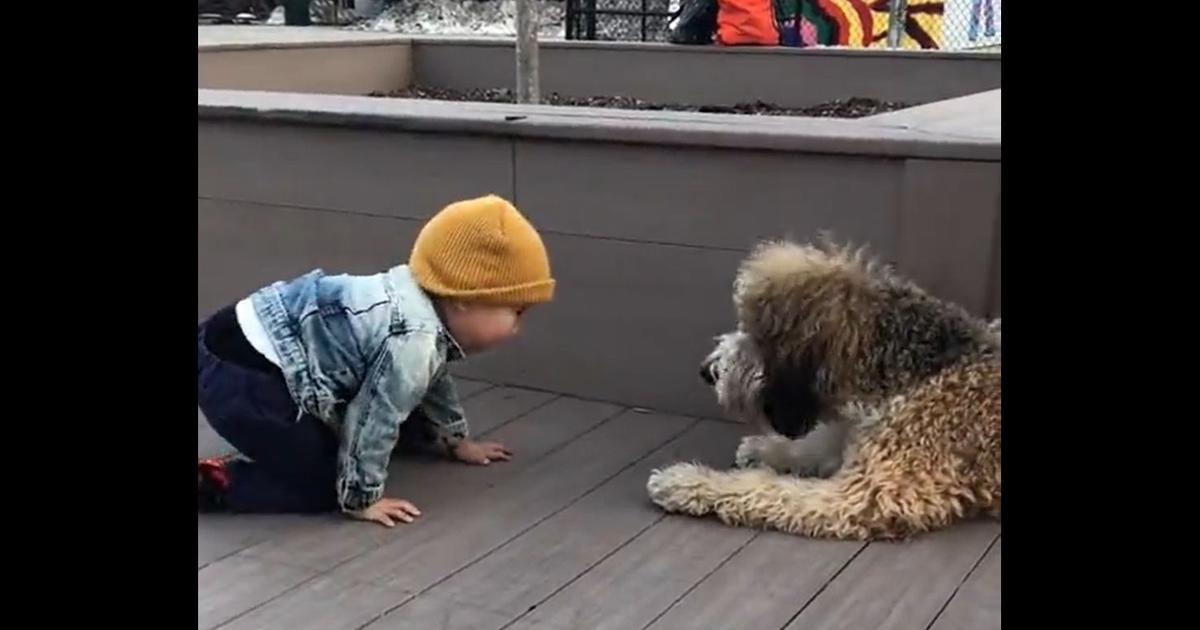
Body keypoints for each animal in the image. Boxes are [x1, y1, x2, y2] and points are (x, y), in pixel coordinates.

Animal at [648, 238, 1003, 537]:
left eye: (754, 332)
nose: (707, 371)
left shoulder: (864, 495)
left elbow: (767, 488)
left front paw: (689, 482)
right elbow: (813, 446)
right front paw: (764, 449)